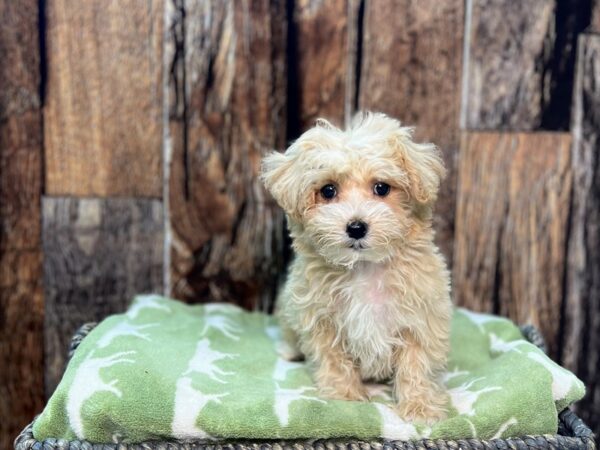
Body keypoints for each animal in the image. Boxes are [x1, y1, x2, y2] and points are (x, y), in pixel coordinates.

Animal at [260, 111, 452, 422]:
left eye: (381, 188)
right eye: (328, 191)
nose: (357, 227)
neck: (364, 268)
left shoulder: (421, 318)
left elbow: (416, 365)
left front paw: (420, 407)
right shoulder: (321, 319)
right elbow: (335, 360)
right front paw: (346, 397)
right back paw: (290, 351)